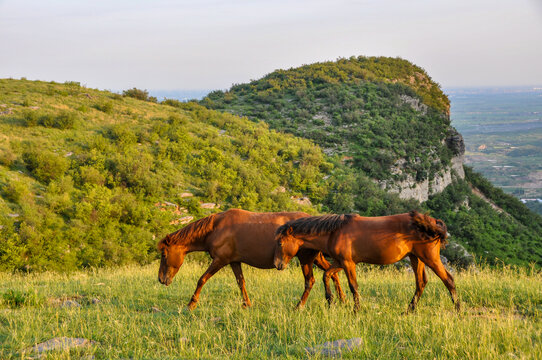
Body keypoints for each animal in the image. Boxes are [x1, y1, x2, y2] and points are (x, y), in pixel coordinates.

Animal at [157, 208, 344, 310]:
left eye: (164, 254)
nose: (161, 279)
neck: (216, 228)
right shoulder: (234, 261)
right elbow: (241, 282)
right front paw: (246, 303)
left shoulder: (220, 260)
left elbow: (202, 279)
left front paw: (192, 304)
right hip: (315, 258)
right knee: (332, 273)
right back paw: (341, 300)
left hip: (306, 259)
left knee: (310, 281)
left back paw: (300, 306)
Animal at [276, 212, 460, 310]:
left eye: (280, 243)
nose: (278, 265)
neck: (335, 232)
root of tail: (432, 223)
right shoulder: (340, 262)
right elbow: (326, 275)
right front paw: (330, 300)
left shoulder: (348, 263)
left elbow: (353, 286)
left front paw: (356, 310)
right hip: (416, 258)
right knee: (421, 283)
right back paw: (409, 311)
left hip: (430, 258)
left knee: (448, 280)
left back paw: (458, 310)